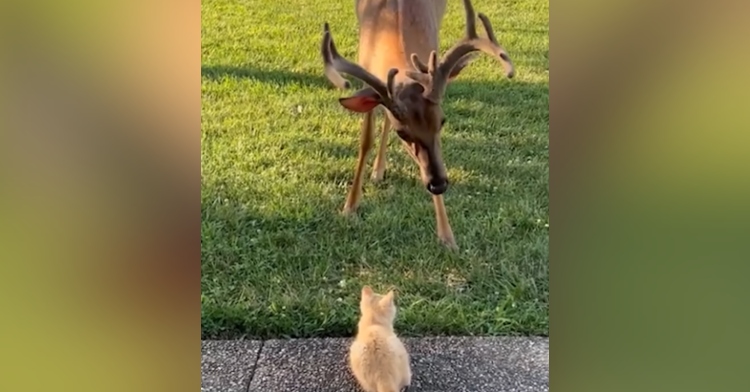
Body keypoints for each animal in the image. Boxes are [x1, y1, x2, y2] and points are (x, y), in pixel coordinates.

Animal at [320, 0, 516, 250]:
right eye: (402, 133)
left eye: (442, 121)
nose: (438, 184)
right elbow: (366, 141)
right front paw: (349, 206)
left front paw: (447, 236)